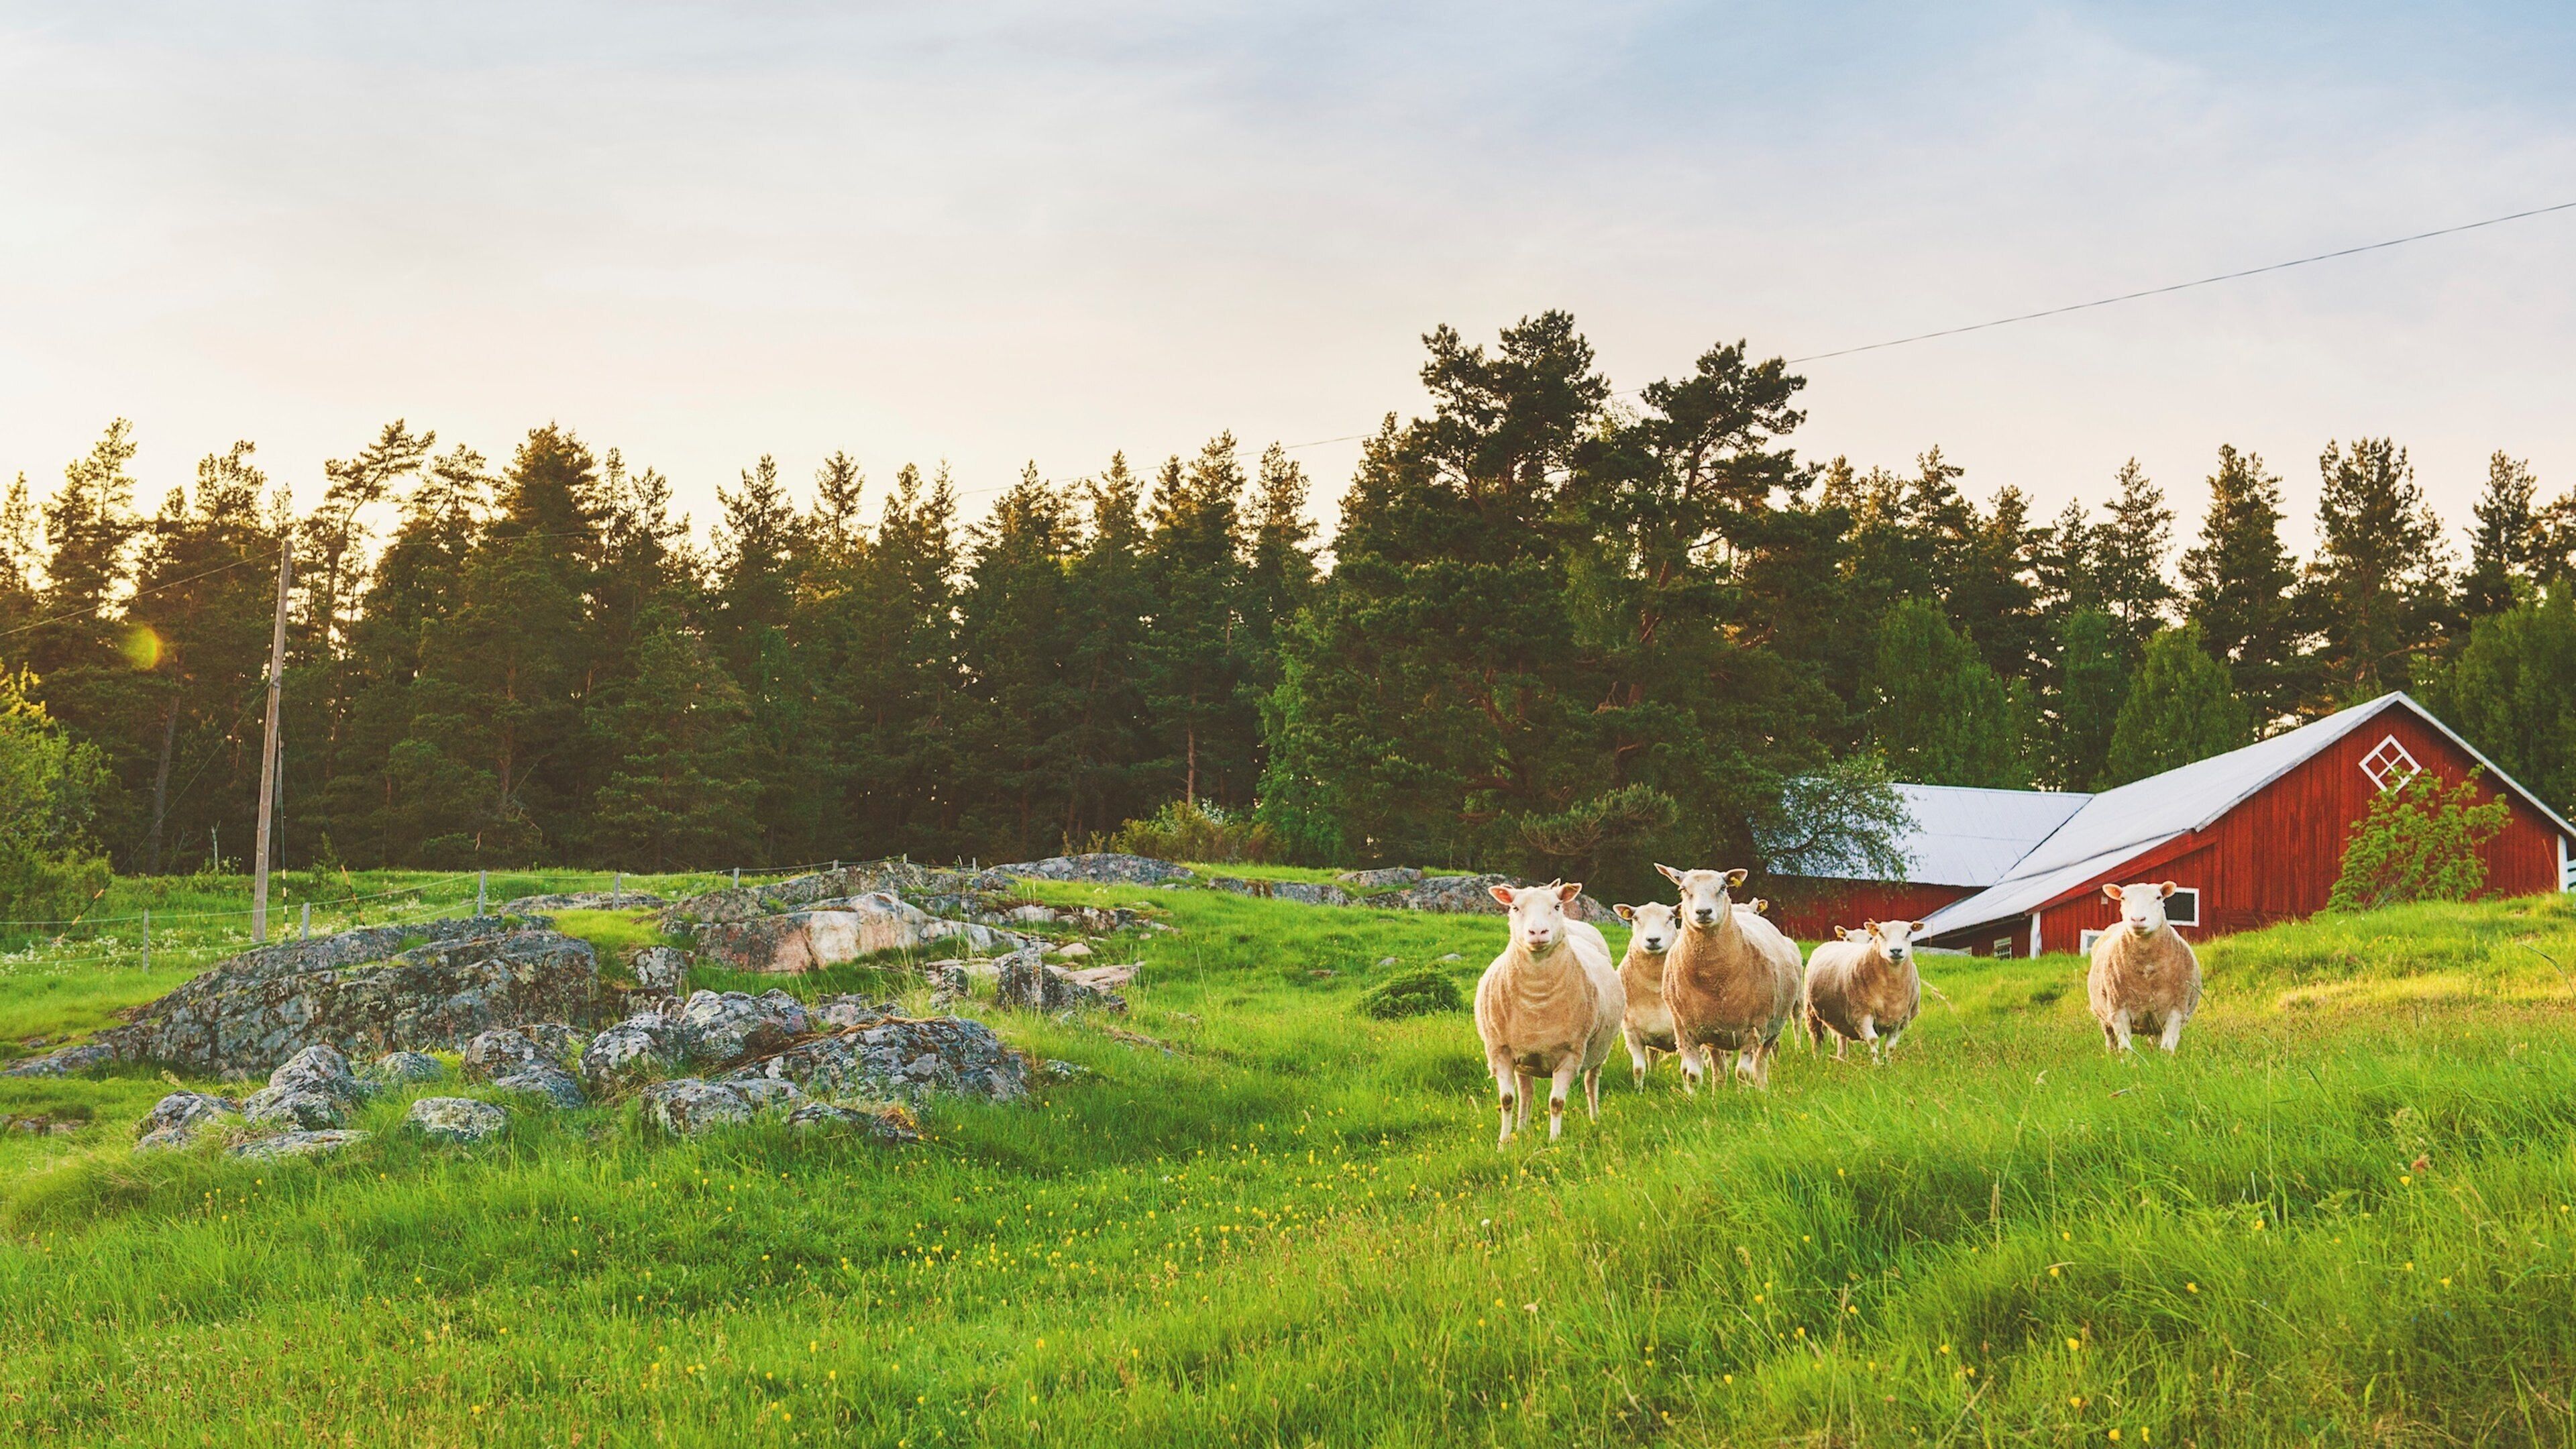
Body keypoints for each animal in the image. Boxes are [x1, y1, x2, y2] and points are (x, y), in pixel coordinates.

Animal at [1475, 881, 1627, 1145]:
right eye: (1515, 907)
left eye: (1556, 906)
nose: (1538, 932)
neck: (1536, 1001)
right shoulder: (1499, 1051)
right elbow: (1507, 1100)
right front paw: (1503, 1143)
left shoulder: (1570, 1055)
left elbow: (1557, 1103)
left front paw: (1554, 1142)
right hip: (1523, 1060)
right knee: (1526, 1092)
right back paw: (1522, 1129)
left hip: (1599, 1050)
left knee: (1591, 1082)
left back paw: (1594, 1119)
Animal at [1611, 901, 1680, 1088]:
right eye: (1636, 918)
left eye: (1671, 918)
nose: (1653, 940)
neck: (1655, 987)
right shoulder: (1632, 1033)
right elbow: (1638, 1069)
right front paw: (1639, 1090)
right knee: (1653, 1057)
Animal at [1655, 865, 1805, 1091]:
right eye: (1683, 889)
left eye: (1723, 887)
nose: (1703, 912)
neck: (1711, 978)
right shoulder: (1684, 1030)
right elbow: (1692, 1075)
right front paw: (1696, 1098)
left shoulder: (1753, 1028)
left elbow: (1743, 1073)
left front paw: (1744, 1095)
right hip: (1713, 1034)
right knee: (1719, 1067)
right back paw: (1718, 1089)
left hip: (1773, 1028)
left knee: (1760, 1063)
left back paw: (1762, 1089)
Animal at [1801, 919, 1924, 1063]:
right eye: (1880, 934)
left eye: (1909, 933)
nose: (1896, 950)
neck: (1891, 988)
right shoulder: (1861, 1014)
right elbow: (1873, 1040)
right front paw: (1877, 1065)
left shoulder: (1900, 1020)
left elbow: (1891, 1046)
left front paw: (1888, 1064)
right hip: (1811, 1010)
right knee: (1816, 1037)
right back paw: (1818, 1059)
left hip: (1840, 1017)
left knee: (1841, 1037)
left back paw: (1843, 1058)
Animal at [2088, 881, 2202, 1053]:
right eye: (2123, 898)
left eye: (2158, 897)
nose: (2137, 919)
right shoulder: (2118, 1011)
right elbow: (2126, 1049)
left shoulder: (2177, 1010)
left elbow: (2167, 1048)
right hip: (2104, 1015)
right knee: (2110, 1039)